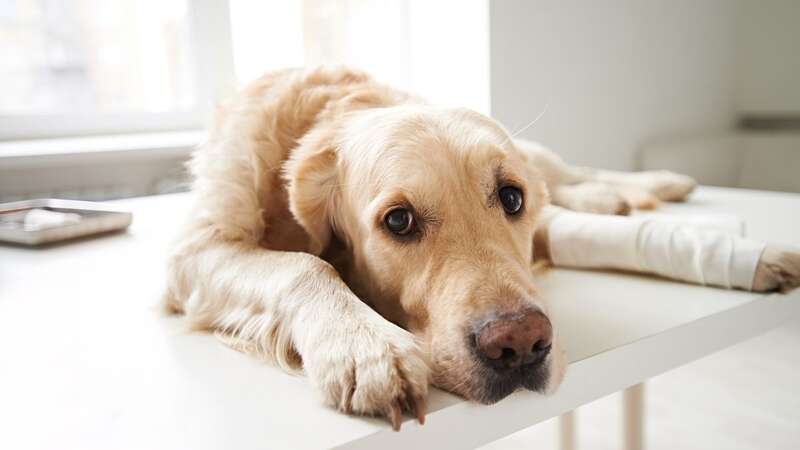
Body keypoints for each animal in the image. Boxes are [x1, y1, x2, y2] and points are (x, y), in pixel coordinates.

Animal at [164, 66, 800, 428]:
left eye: (511, 198)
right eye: (398, 220)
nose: (521, 345)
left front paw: (751, 256)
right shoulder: (195, 251)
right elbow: (302, 265)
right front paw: (365, 346)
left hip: (540, 156)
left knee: (570, 173)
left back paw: (656, 184)